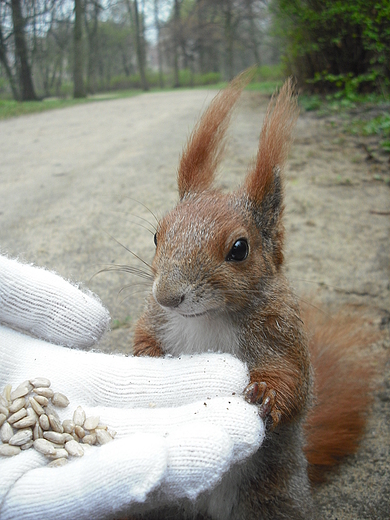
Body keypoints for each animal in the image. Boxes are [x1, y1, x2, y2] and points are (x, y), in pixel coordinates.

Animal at [130, 74, 374, 520]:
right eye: (156, 236)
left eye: (239, 249)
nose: (168, 297)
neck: (208, 318)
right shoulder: (154, 317)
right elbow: (144, 332)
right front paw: (146, 355)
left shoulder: (282, 334)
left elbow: (292, 381)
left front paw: (265, 393)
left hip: (272, 498)